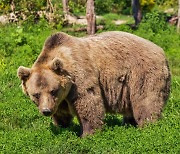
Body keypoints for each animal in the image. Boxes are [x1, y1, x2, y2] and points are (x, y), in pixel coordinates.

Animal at [17, 30, 171, 137]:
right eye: (36, 94)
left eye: (53, 90)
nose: (46, 111)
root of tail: (161, 51)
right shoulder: (61, 98)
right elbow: (61, 112)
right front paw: (61, 126)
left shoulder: (80, 78)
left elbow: (89, 103)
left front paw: (87, 134)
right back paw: (129, 123)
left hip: (141, 73)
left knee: (146, 101)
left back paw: (148, 126)